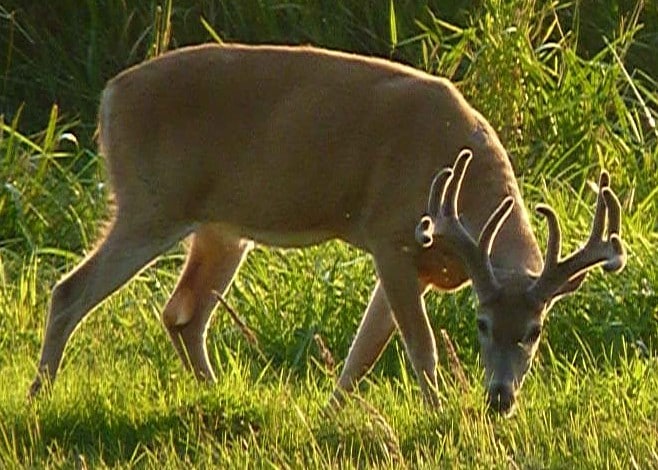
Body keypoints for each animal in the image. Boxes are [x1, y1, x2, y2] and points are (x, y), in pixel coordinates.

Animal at [28, 43, 626, 415]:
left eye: (534, 330)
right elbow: (419, 344)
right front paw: (440, 418)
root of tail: (109, 96)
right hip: (150, 202)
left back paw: (213, 394)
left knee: (183, 313)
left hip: (221, 229)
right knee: (70, 291)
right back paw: (40, 395)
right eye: (480, 324)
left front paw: (331, 414)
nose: (500, 398)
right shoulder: (389, 233)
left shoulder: (412, 259)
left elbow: (364, 350)